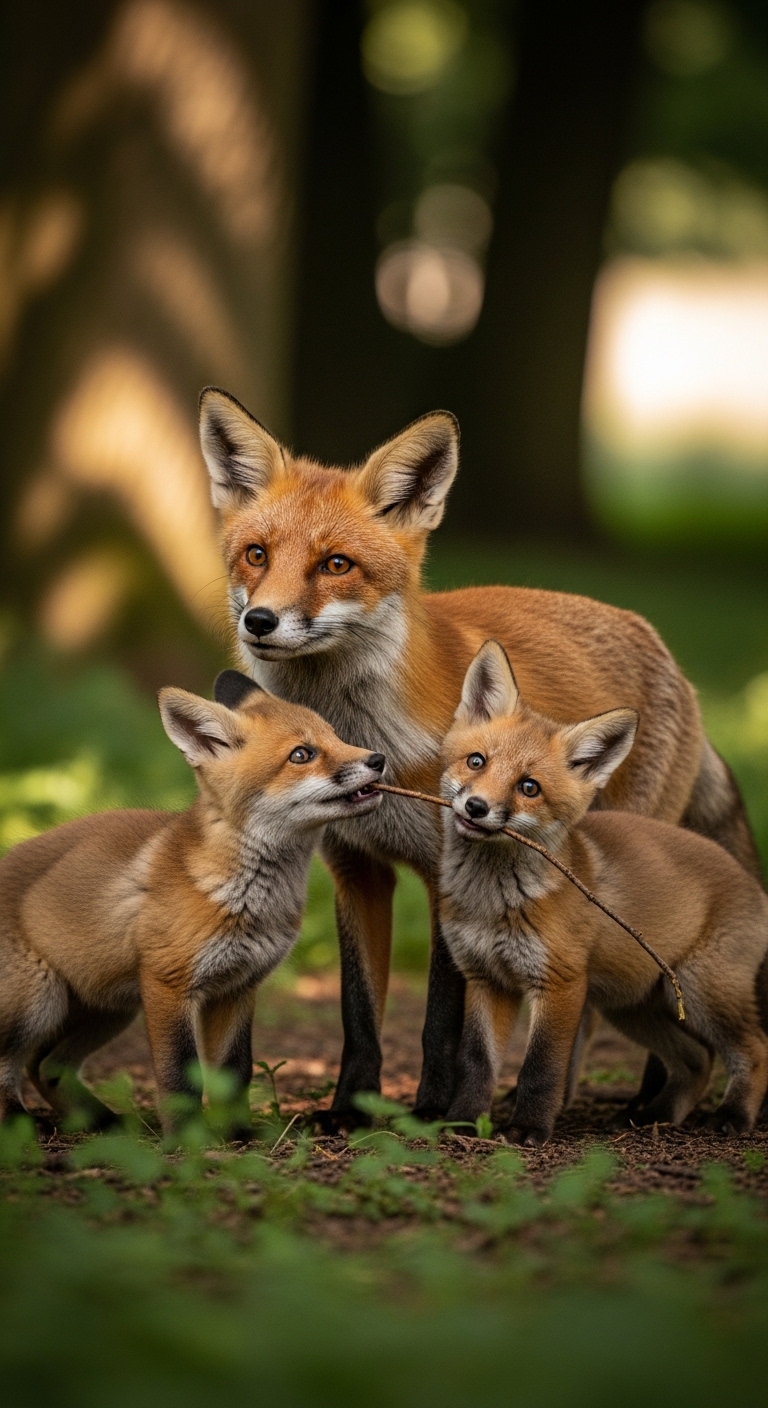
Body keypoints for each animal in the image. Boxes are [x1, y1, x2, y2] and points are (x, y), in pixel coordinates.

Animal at [0, 670, 385, 1133]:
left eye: (336, 736)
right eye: (302, 754)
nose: (379, 759)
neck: (248, 900)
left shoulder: (237, 987)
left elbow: (235, 1071)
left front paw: (238, 1135)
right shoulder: (169, 985)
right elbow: (179, 1075)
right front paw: (186, 1140)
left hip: (109, 1009)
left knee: (46, 1067)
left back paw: (107, 1124)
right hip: (39, 1003)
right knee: (11, 1065)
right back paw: (18, 1123)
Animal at [439, 640, 768, 1144]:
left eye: (528, 787)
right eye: (477, 761)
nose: (476, 807)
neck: (491, 903)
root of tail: (751, 881)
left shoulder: (560, 983)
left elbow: (542, 1067)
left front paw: (528, 1129)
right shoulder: (486, 978)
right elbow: (474, 1061)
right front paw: (461, 1123)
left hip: (701, 994)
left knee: (754, 1049)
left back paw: (732, 1116)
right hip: (635, 1006)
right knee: (696, 1059)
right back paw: (654, 1116)